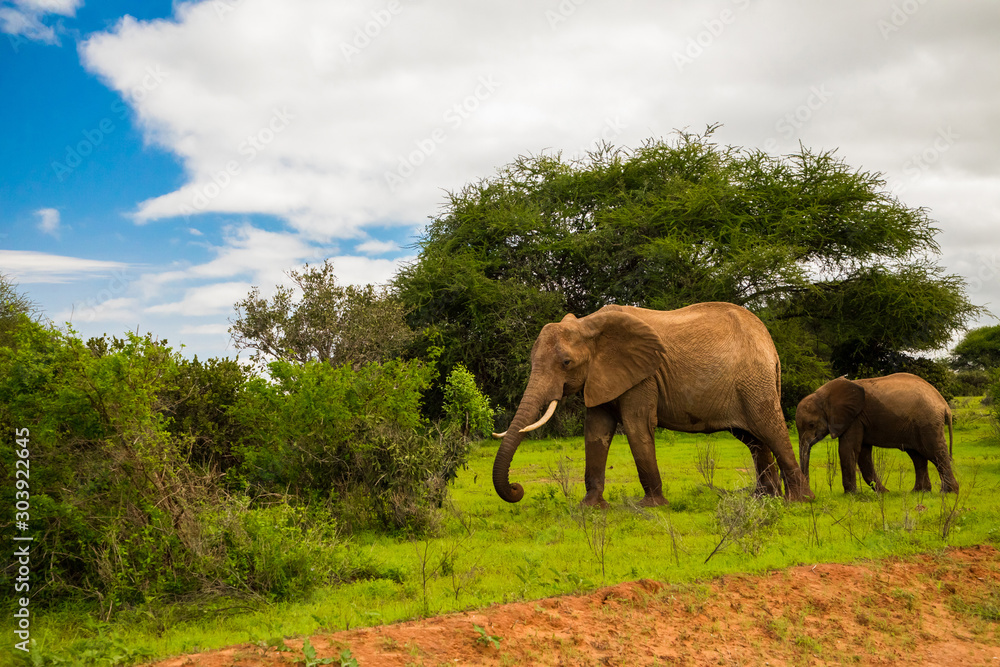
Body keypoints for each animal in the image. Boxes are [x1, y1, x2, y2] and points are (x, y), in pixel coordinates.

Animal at [491, 302, 814, 507]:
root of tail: (770, 344)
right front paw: (590, 507)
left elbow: (636, 427)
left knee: (770, 428)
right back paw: (764, 499)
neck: (589, 326)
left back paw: (798, 501)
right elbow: (596, 431)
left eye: (566, 363)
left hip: (754, 381)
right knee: (754, 439)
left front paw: (652, 506)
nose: (517, 488)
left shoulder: (643, 377)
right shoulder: (601, 376)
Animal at [796, 373, 957, 494]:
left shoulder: (855, 418)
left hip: (928, 422)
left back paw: (948, 492)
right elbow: (863, 454)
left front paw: (851, 494)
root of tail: (943, 404)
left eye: (811, 425)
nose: (809, 490)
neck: (824, 394)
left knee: (935, 452)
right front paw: (884, 493)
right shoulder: (859, 420)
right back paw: (919, 492)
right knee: (917, 456)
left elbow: (848, 449)